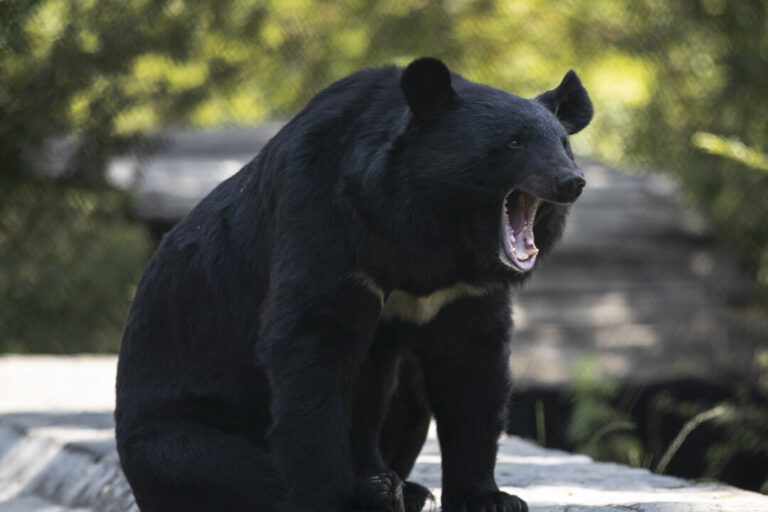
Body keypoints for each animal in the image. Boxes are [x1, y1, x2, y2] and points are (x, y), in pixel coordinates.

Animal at [115, 57, 592, 512]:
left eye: (565, 145)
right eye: (514, 142)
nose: (571, 182)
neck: (435, 232)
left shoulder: (465, 292)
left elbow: (471, 369)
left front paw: (490, 498)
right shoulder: (326, 223)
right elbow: (310, 346)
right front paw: (340, 498)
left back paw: (405, 489)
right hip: (169, 432)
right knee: (216, 467)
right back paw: (379, 492)